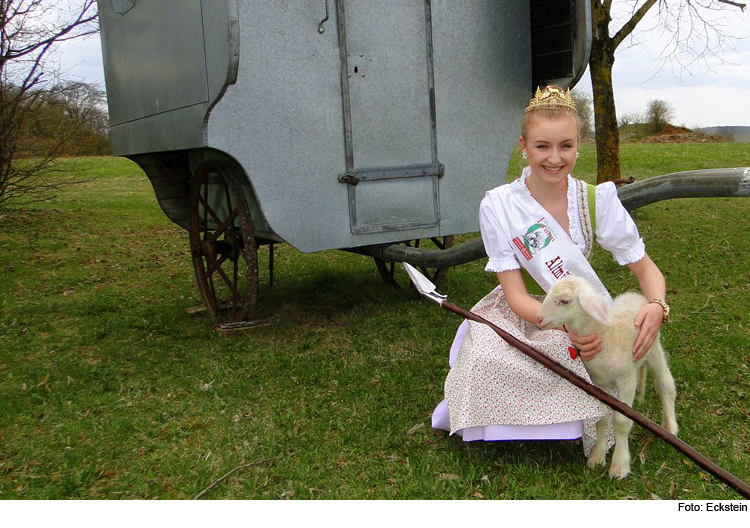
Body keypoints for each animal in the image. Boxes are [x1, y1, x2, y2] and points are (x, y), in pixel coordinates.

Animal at [536, 276, 680, 478]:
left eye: (564, 301)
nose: (538, 319)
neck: (605, 335)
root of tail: (636, 296)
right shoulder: (598, 383)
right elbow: (602, 417)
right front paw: (597, 456)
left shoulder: (627, 381)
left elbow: (620, 421)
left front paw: (619, 466)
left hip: (652, 348)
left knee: (666, 384)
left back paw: (670, 427)